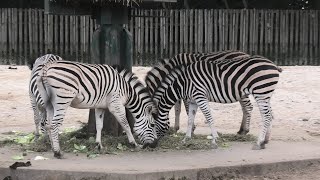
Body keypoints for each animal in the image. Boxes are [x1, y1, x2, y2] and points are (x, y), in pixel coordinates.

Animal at [154, 55, 282, 150]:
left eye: (152, 125)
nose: (152, 145)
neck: (183, 83)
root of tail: (273, 65)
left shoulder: (200, 97)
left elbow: (209, 118)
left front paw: (215, 139)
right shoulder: (193, 101)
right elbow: (190, 120)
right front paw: (186, 139)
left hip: (261, 92)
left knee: (266, 116)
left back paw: (259, 142)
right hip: (265, 94)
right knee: (271, 115)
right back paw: (265, 141)